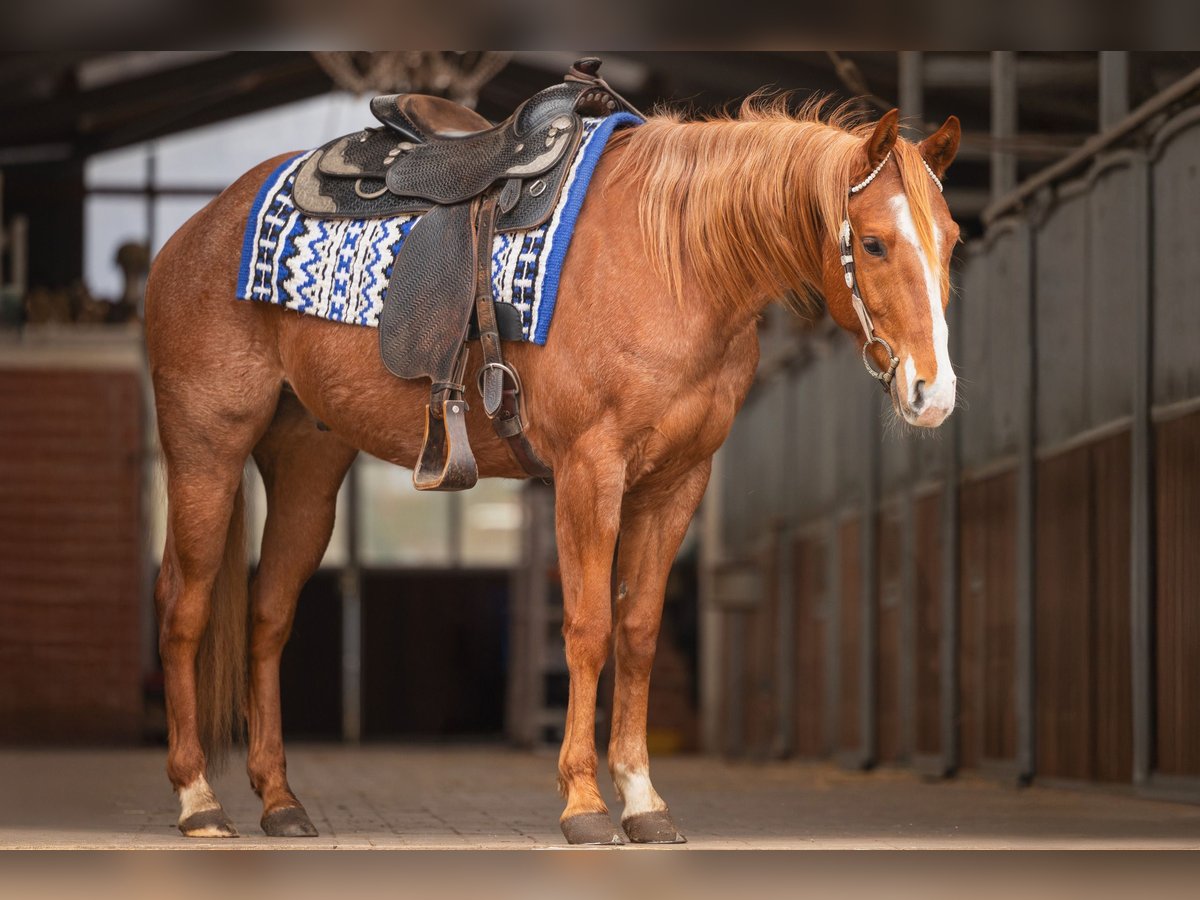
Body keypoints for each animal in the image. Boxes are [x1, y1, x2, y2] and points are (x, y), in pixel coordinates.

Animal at [145, 93, 960, 844]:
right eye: (876, 244)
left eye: (951, 239)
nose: (935, 392)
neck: (676, 263)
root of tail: (195, 230)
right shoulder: (590, 471)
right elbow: (589, 627)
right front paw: (586, 803)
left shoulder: (677, 483)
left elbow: (638, 631)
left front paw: (643, 800)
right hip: (206, 449)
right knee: (185, 605)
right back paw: (197, 799)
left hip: (307, 468)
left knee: (267, 617)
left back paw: (280, 801)